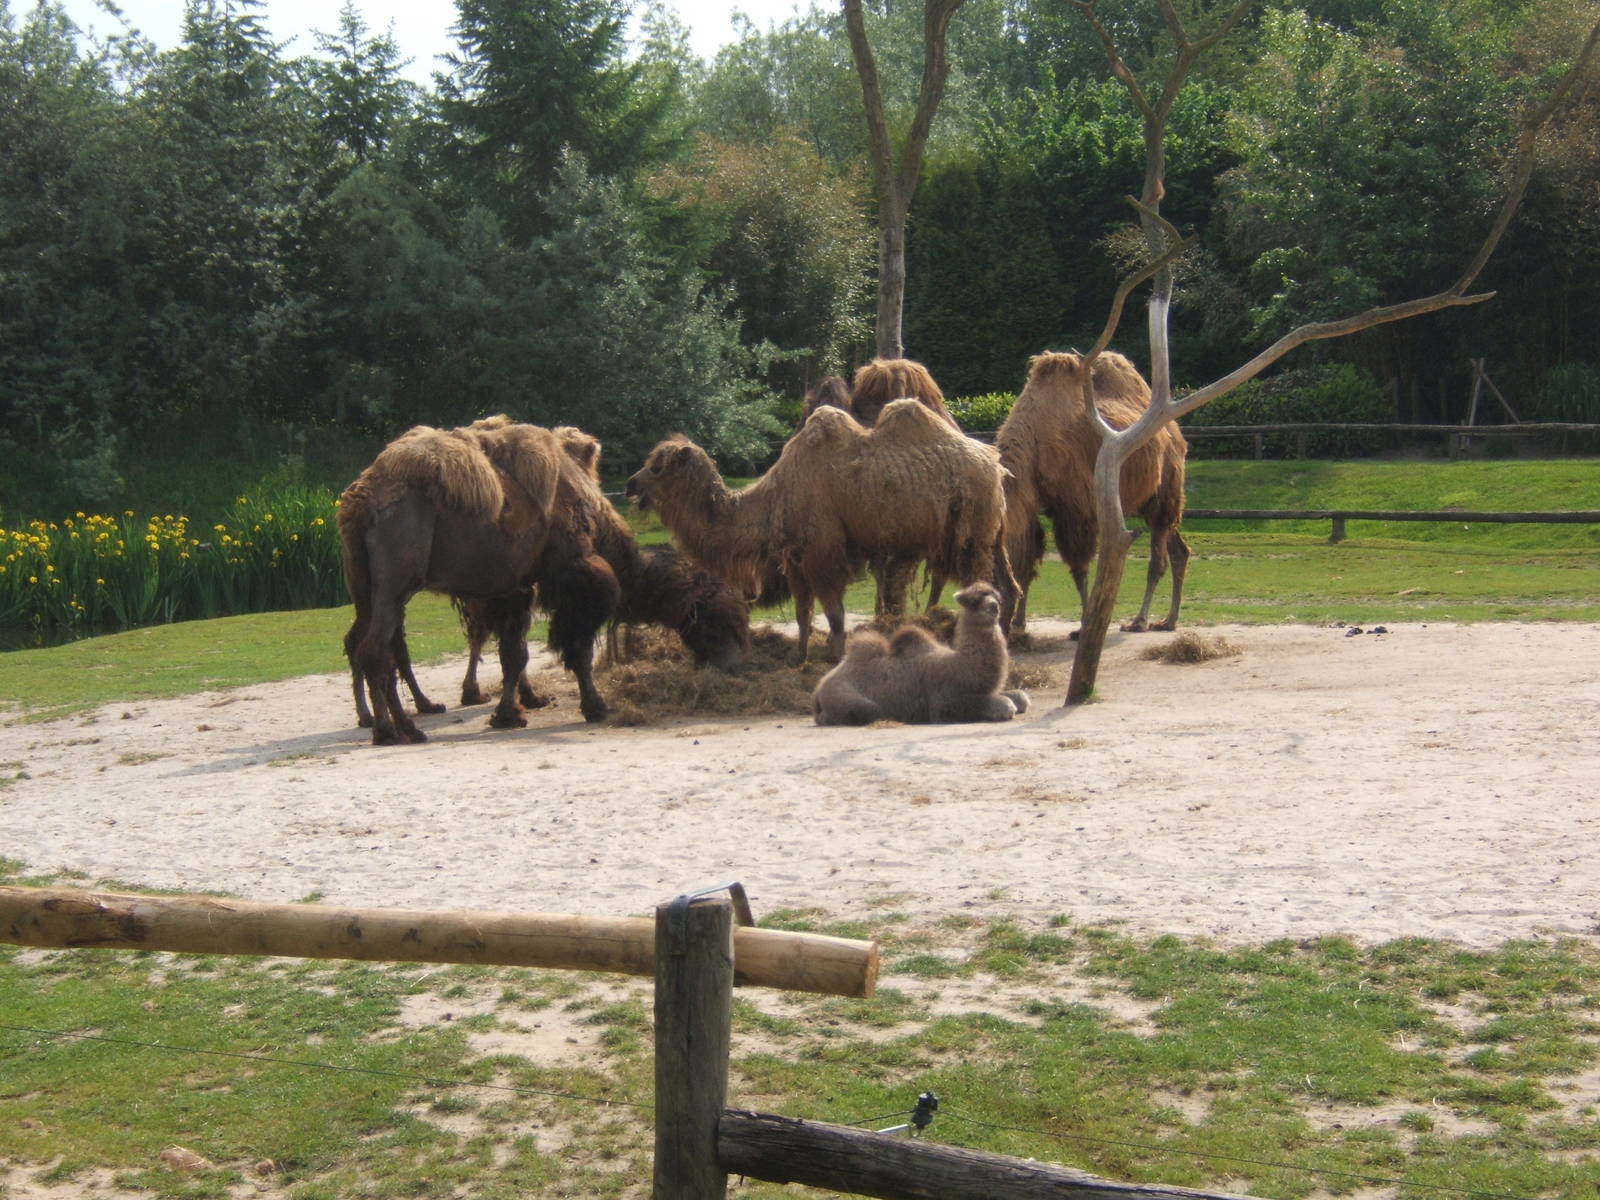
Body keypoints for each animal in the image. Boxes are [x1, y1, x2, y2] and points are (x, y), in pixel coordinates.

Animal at [340, 418, 747, 744]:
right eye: (715, 621)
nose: (733, 665)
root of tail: (363, 497)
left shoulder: (515, 587)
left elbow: (513, 653)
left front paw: (510, 714)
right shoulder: (578, 577)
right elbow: (577, 649)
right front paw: (596, 707)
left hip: (366, 586)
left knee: (376, 644)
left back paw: (393, 723)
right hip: (396, 579)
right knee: (377, 649)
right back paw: (397, 730)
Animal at [627, 400, 1018, 665]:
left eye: (657, 466)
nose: (631, 484)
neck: (776, 495)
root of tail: (996, 466)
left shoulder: (823, 553)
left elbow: (834, 613)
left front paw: (837, 657)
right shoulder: (796, 559)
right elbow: (803, 613)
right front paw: (799, 659)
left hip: (974, 532)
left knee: (983, 580)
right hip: (986, 532)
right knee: (1004, 582)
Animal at [811, 582, 1029, 725]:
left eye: (997, 597)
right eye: (974, 601)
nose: (994, 606)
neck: (961, 666)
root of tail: (818, 690)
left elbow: (1022, 697)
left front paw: (1017, 699)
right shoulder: (943, 702)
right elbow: (1001, 704)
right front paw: (1005, 707)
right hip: (850, 700)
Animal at [995, 350, 1190, 635]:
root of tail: (1177, 435)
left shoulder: (1076, 507)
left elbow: (1079, 568)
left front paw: (1084, 624)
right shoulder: (1033, 505)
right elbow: (1029, 560)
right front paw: (1020, 623)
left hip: (1165, 490)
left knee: (1158, 559)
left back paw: (1140, 621)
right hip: (1150, 502)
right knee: (1179, 550)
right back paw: (1169, 620)